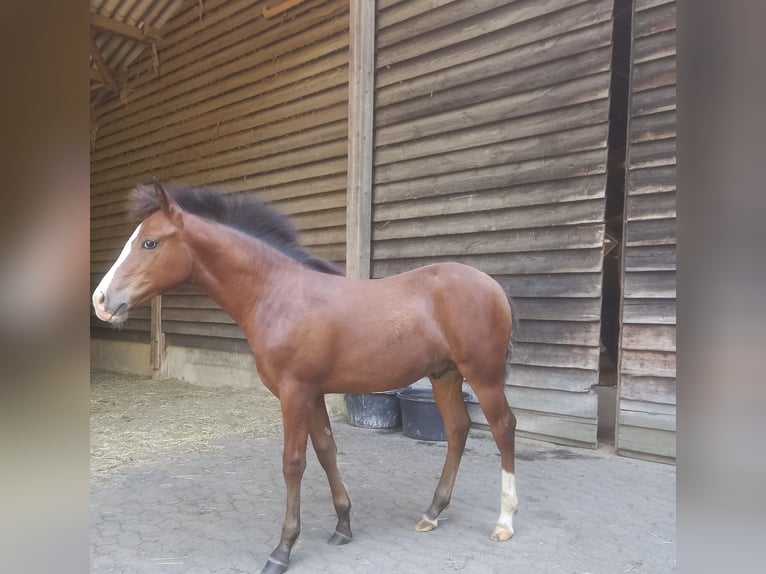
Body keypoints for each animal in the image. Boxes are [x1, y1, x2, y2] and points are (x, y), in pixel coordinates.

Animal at [92, 180, 519, 574]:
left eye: (149, 242)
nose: (101, 301)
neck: (279, 295)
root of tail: (492, 285)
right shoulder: (312, 393)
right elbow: (327, 450)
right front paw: (343, 525)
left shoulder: (293, 392)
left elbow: (293, 463)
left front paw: (282, 549)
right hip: (444, 375)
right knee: (458, 430)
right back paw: (432, 511)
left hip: (483, 375)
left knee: (502, 427)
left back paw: (504, 521)